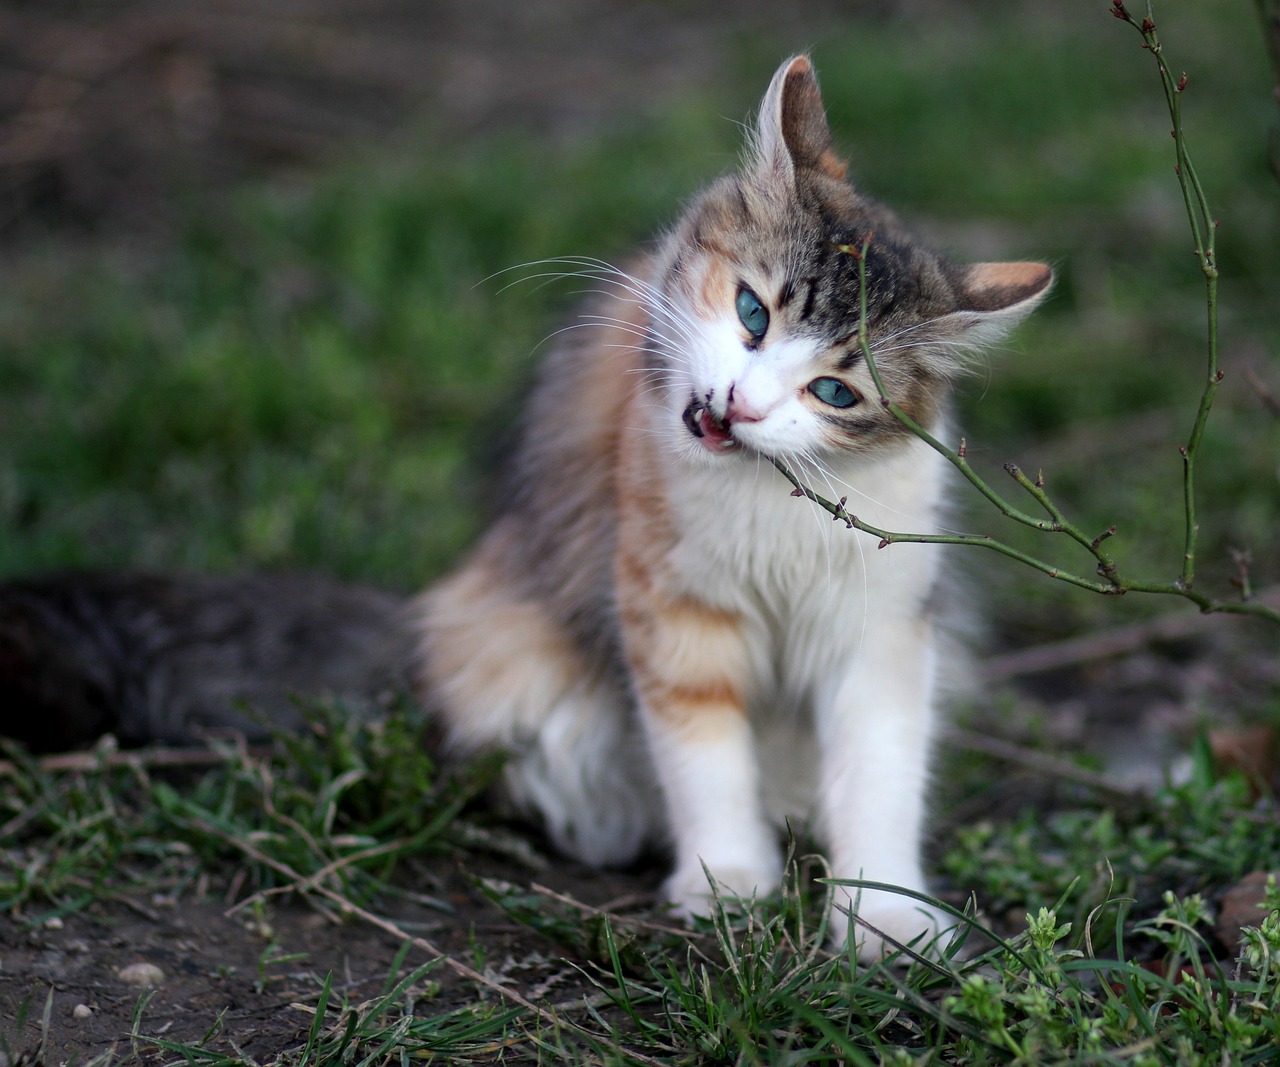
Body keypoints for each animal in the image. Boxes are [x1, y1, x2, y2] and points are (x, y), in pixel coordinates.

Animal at [409, 54, 1049, 956]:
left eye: (834, 392)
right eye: (752, 311)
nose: (742, 405)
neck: (775, 499)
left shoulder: (879, 629)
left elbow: (881, 773)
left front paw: (881, 914)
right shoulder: (676, 609)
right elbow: (704, 763)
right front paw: (728, 883)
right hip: (498, 660)